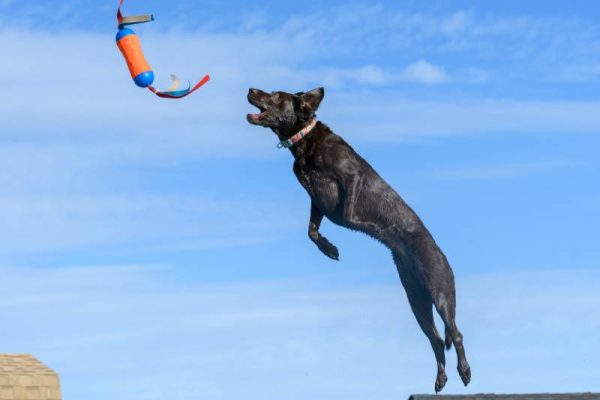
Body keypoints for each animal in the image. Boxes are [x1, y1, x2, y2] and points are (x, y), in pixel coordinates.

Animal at [246, 86, 472, 390]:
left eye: (276, 95)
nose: (250, 90)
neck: (304, 140)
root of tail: (442, 255)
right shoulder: (316, 200)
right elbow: (312, 231)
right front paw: (329, 249)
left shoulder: (351, 178)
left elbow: (349, 215)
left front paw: (373, 228)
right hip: (416, 300)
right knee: (436, 340)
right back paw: (441, 378)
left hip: (440, 291)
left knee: (455, 333)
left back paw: (465, 371)